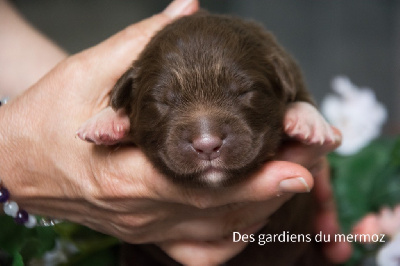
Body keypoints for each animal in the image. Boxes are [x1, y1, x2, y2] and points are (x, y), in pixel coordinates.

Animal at [77, 10, 334, 266]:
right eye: (163, 101)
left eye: (244, 92)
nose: (207, 145)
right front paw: (107, 120)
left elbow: (300, 95)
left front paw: (307, 118)